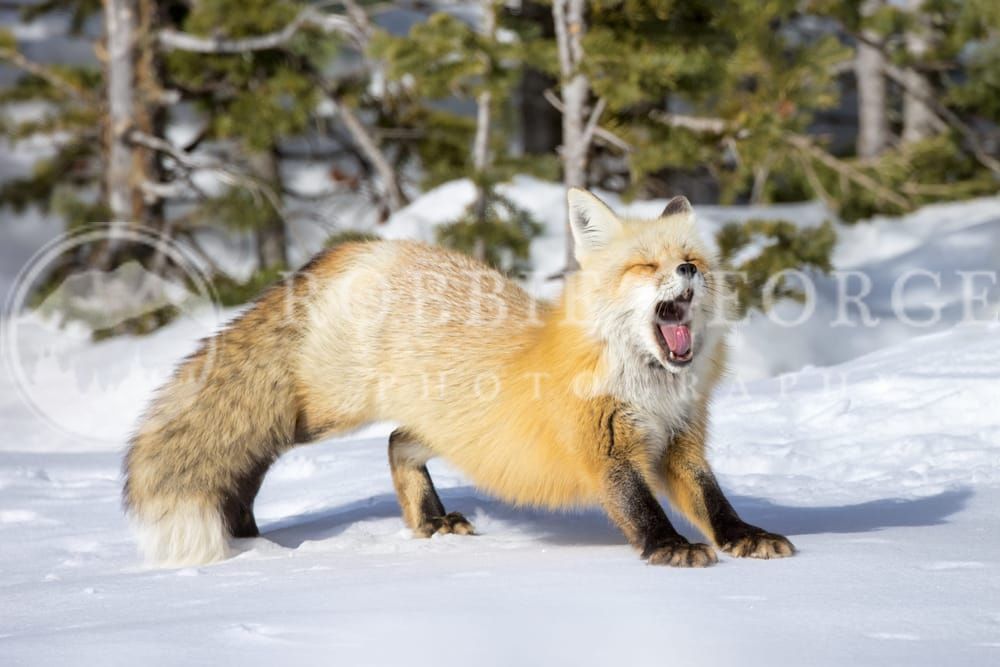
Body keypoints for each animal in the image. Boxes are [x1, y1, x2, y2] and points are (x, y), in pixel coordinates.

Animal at [123, 188, 795, 568]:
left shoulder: (680, 443)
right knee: (251, 441)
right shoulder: (606, 450)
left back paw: (429, 522)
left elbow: (714, 501)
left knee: (396, 442)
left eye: (693, 261)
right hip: (321, 410)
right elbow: (641, 508)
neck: (650, 388)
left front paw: (745, 536)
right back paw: (244, 527)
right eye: (645, 266)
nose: (686, 271)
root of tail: (366, 246)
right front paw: (669, 548)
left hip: (451, 427)